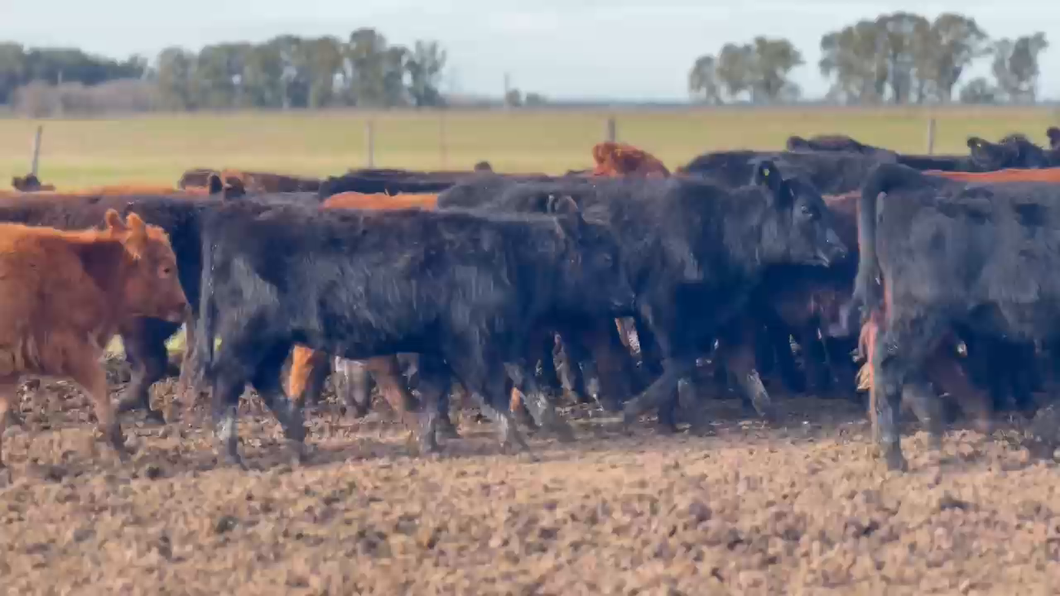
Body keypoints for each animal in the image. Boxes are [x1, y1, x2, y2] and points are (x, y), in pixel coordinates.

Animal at [0, 209, 188, 472]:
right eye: (166, 269)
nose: (184, 305)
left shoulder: (10, 370)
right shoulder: (77, 352)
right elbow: (104, 402)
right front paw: (121, 454)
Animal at [195, 197, 631, 462]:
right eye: (608, 257)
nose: (627, 299)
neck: (509, 255)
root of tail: (236, 222)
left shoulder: (459, 345)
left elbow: (454, 392)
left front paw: (430, 444)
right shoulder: (470, 343)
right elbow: (492, 389)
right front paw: (517, 441)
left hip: (270, 340)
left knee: (264, 379)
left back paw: (299, 440)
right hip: (247, 334)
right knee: (228, 382)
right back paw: (233, 453)